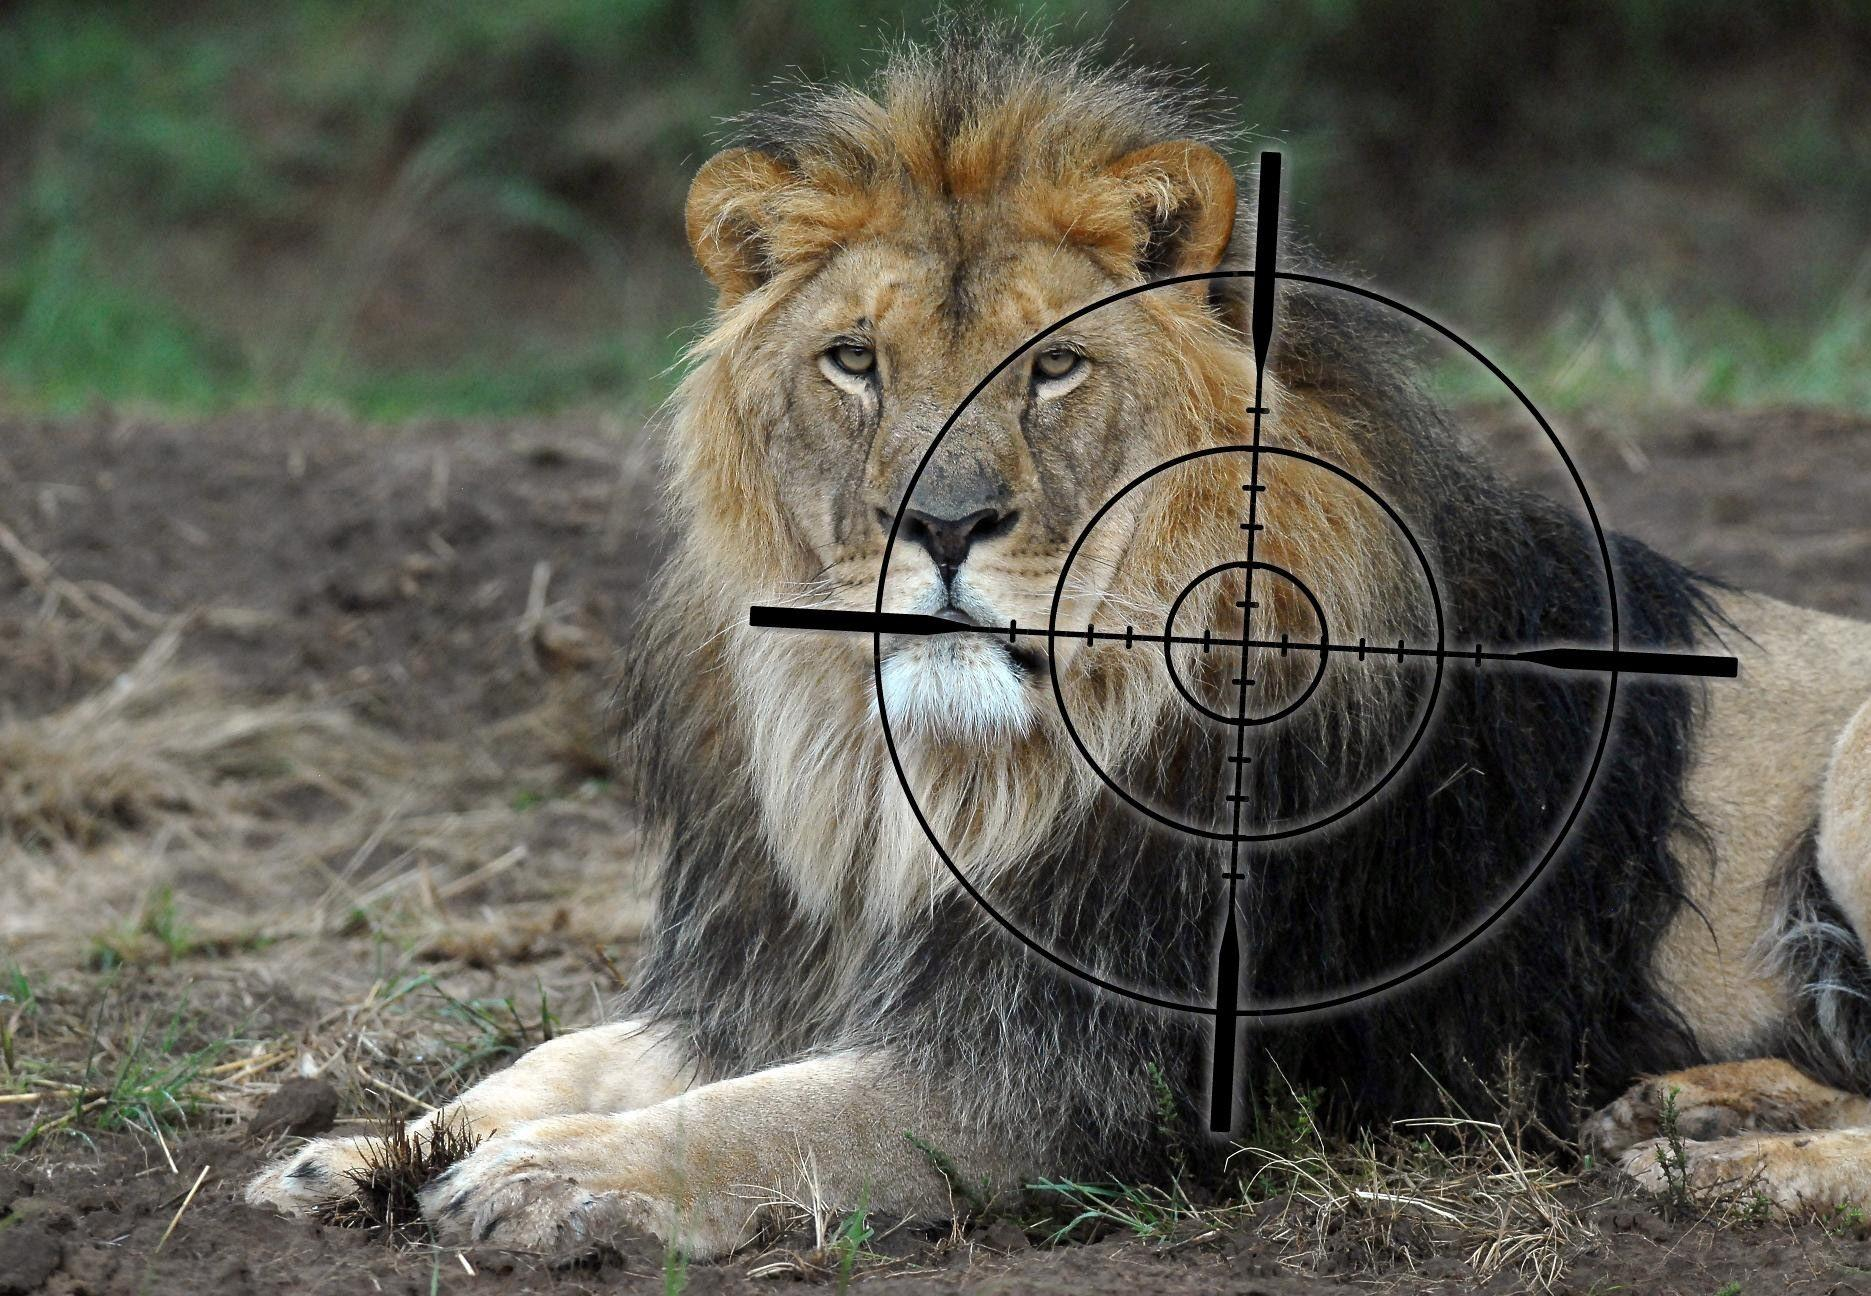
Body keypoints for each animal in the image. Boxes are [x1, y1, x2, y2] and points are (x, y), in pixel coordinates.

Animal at [248, 30, 1871, 1253]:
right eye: (854, 360)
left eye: (1053, 370)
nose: (943, 524)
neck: (917, 777)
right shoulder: (775, 973)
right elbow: (565, 1055)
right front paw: (364, 1150)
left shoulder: (1065, 1074)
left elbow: (768, 1121)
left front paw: (556, 1177)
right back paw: (1690, 1107)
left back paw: (1723, 1170)